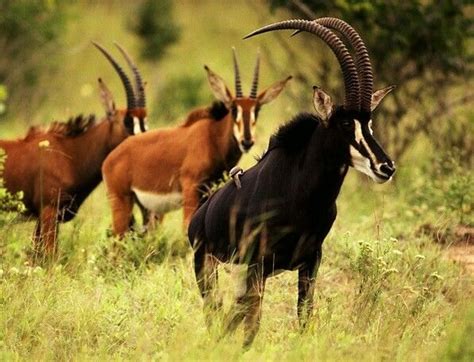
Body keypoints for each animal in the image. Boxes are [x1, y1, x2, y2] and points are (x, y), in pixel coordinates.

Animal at [0, 43, 147, 258]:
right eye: (127, 121)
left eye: (145, 121)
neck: (71, 155)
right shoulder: (49, 211)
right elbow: (50, 255)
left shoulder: (45, 216)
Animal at [102, 48, 290, 238]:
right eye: (233, 108)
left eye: (256, 110)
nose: (246, 141)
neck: (212, 137)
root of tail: (110, 158)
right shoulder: (190, 187)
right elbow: (187, 227)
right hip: (121, 200)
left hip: (144, 208)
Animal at [189, 17, 396, 348]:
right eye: (345, 123)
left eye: (369, 123)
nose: (386, 167)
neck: (302, 196)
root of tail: (200, 213)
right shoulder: (258, 263)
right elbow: (253, 324)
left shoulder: (310, 261)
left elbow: (304, 316)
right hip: (206, 266)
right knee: (216, 311)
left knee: (229, 312)